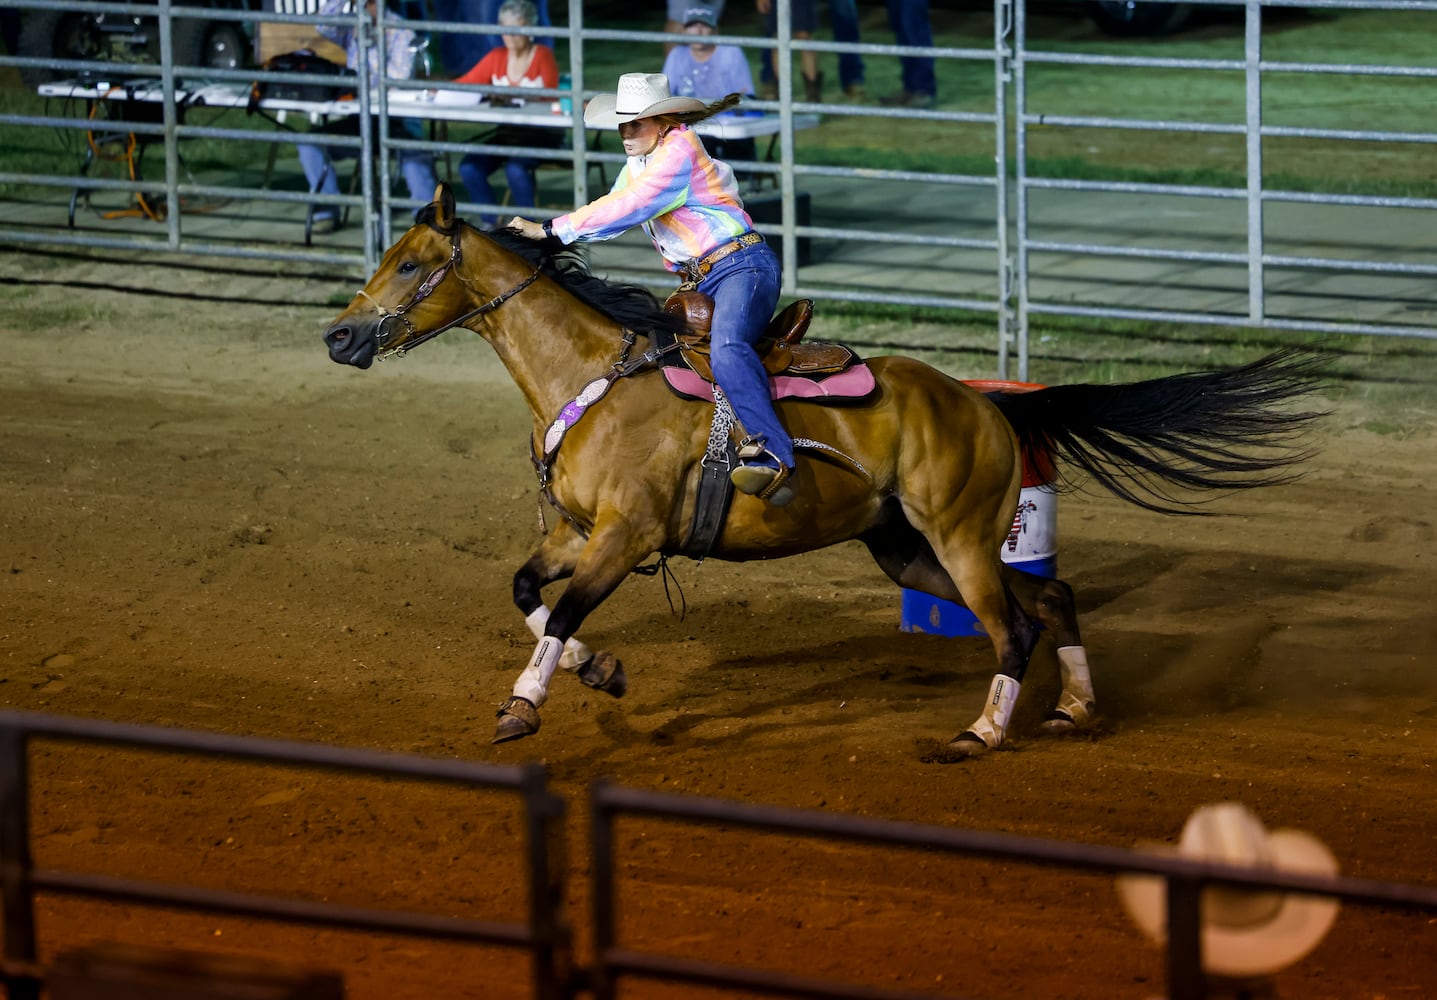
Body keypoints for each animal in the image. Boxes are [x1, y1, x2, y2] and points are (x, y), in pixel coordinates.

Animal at [323, 183, 1322, 752]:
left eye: (409, 263)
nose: (337, 337)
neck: (591, 377)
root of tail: (986, 404)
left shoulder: (625, 535)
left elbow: (561, 612)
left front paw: (524, 706)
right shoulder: (575, 533)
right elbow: (528, 593)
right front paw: (597, 671)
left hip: (957, 537)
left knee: (1012, 628)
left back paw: (978, 734)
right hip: (909, 549)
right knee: (1051, 599)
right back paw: (1072, 713)